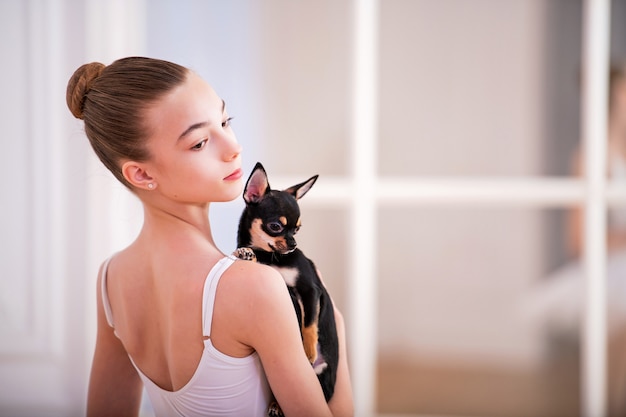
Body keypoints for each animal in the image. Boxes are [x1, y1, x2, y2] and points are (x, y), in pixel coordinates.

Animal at [234, 161, 336, 412]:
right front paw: (246, 254)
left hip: (320, 378)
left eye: (297, 229)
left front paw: (308, 350)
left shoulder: (311, 290)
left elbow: (309, 324)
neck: (271, 258)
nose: (293, 244)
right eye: (275, 226)